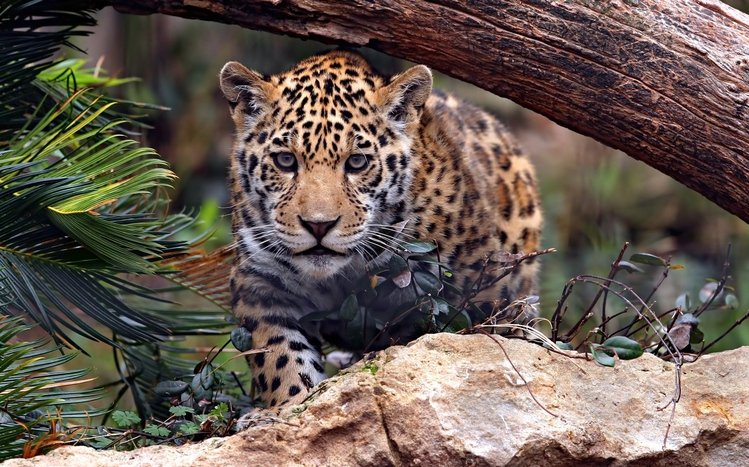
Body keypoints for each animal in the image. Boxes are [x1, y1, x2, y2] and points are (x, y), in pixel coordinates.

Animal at [219, 50, 542, 409]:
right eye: (285, 161)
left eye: (357, 162)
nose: (319, 225)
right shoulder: (260, 282)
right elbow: (279, 355)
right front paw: (292, 403)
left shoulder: (480, 292)